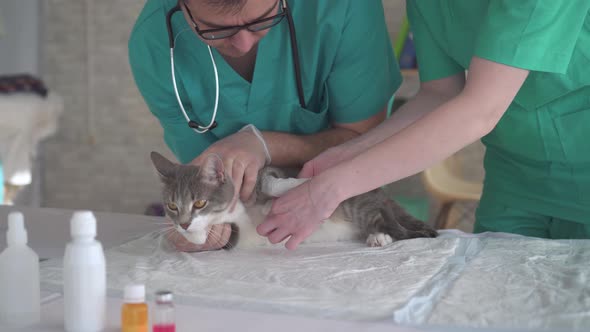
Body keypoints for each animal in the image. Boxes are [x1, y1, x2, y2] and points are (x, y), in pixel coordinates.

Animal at [151, 150, 440, 249]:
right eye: (172, 206)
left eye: (200, 202)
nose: (184, 223)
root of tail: (380, 194)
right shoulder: (231, 237)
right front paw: (193, 235)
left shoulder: (261, 175)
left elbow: (273, 180)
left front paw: (302, 185)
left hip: (360, 204)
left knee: (394, 223)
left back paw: (385, 234)